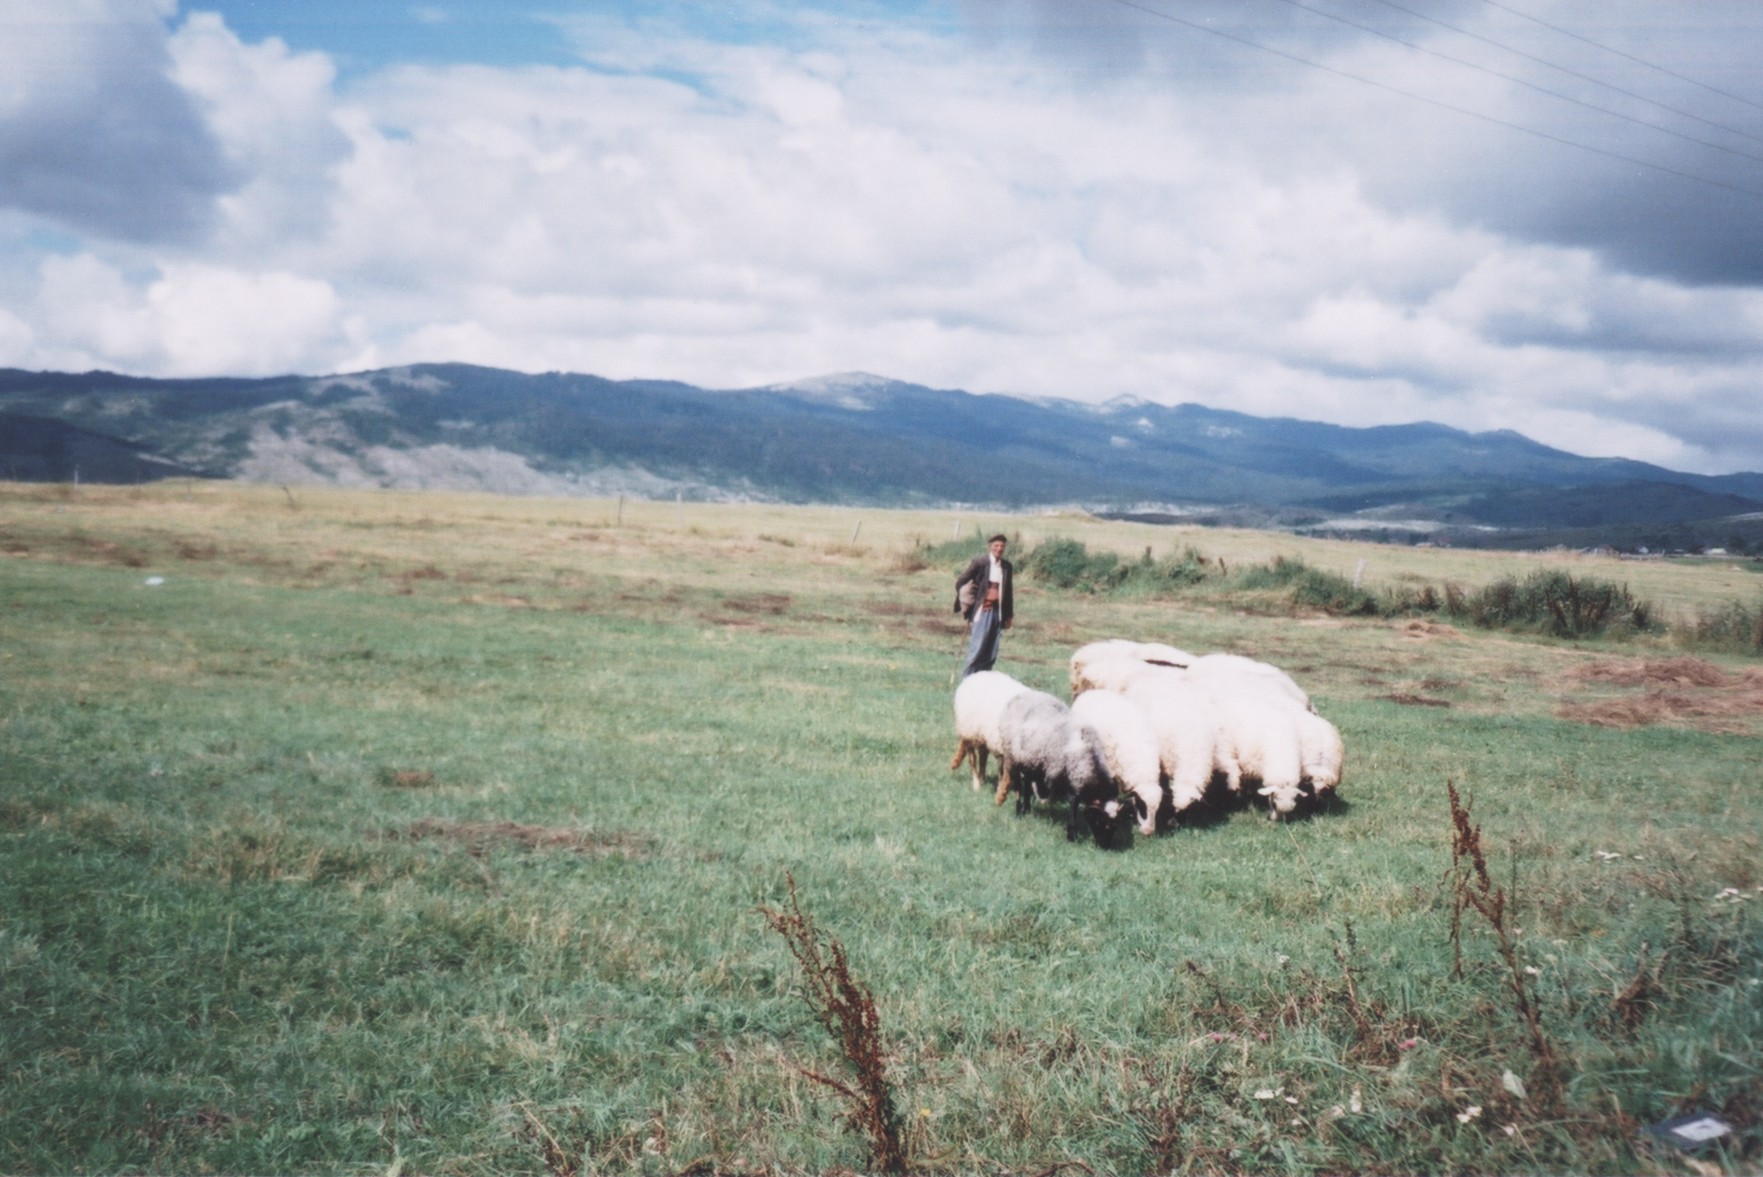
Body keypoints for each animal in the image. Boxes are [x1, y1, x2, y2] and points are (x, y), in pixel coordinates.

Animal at [994, 690, 1128, 845]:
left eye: (1115, 826)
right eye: (1099, 822)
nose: (1105, 846)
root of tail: (1019, 696)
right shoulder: (1069, 781)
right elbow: (1073, 804)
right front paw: (1072, 835)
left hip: (1031, 760)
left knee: (1027, 782)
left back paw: (1027, 809)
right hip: (1012, 757)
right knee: (1018, 787)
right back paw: (1019, 812)